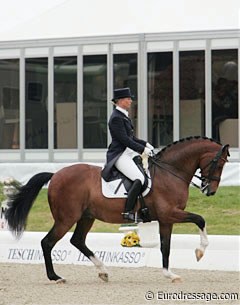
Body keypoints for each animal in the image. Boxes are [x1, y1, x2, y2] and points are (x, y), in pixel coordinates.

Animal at [4, 136, 229, 282]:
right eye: (218, 163)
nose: (210, 191)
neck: (170, 172)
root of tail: (56, 175)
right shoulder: (170, 213)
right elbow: (200, 219)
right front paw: (200, 252)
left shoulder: (166, 219)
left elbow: (165, 246)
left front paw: (169, 274)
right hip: (66, 218)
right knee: (47, 242)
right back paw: (55, 277)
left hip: (86, 216)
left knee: (77, 240)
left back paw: (103, 271)